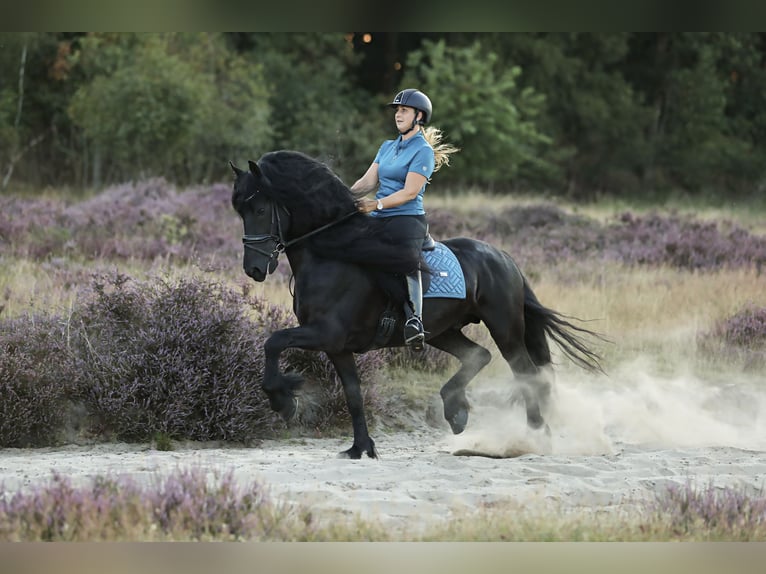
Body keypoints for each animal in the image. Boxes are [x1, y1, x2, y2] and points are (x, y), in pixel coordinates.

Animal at [231, 151, 604, 462]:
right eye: (241, 212)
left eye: (261, 210)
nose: (254, 269)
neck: (332, 256)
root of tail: (503, 257)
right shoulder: (337, 346)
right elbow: (353, 394)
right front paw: (360, 448)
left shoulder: (325, 333)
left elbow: (273, 342)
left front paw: (284, 400)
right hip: (443, 331)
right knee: (477, 355)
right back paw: (456, 411)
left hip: (505, 328)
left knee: (525, 373)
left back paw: (535, 436)